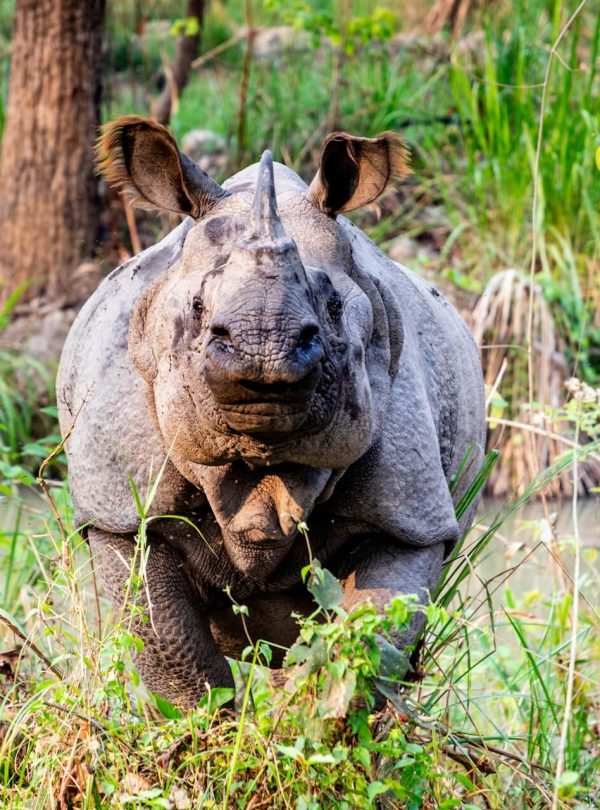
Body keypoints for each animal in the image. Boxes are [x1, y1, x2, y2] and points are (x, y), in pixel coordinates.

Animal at [57, 117, 485, 707]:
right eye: (197, 308)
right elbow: (176, 658)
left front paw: (304, 719)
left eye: (333, 307)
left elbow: (366, 643)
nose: (265, 349)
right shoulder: (123, 509)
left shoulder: (409, 515)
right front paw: (213, 728)